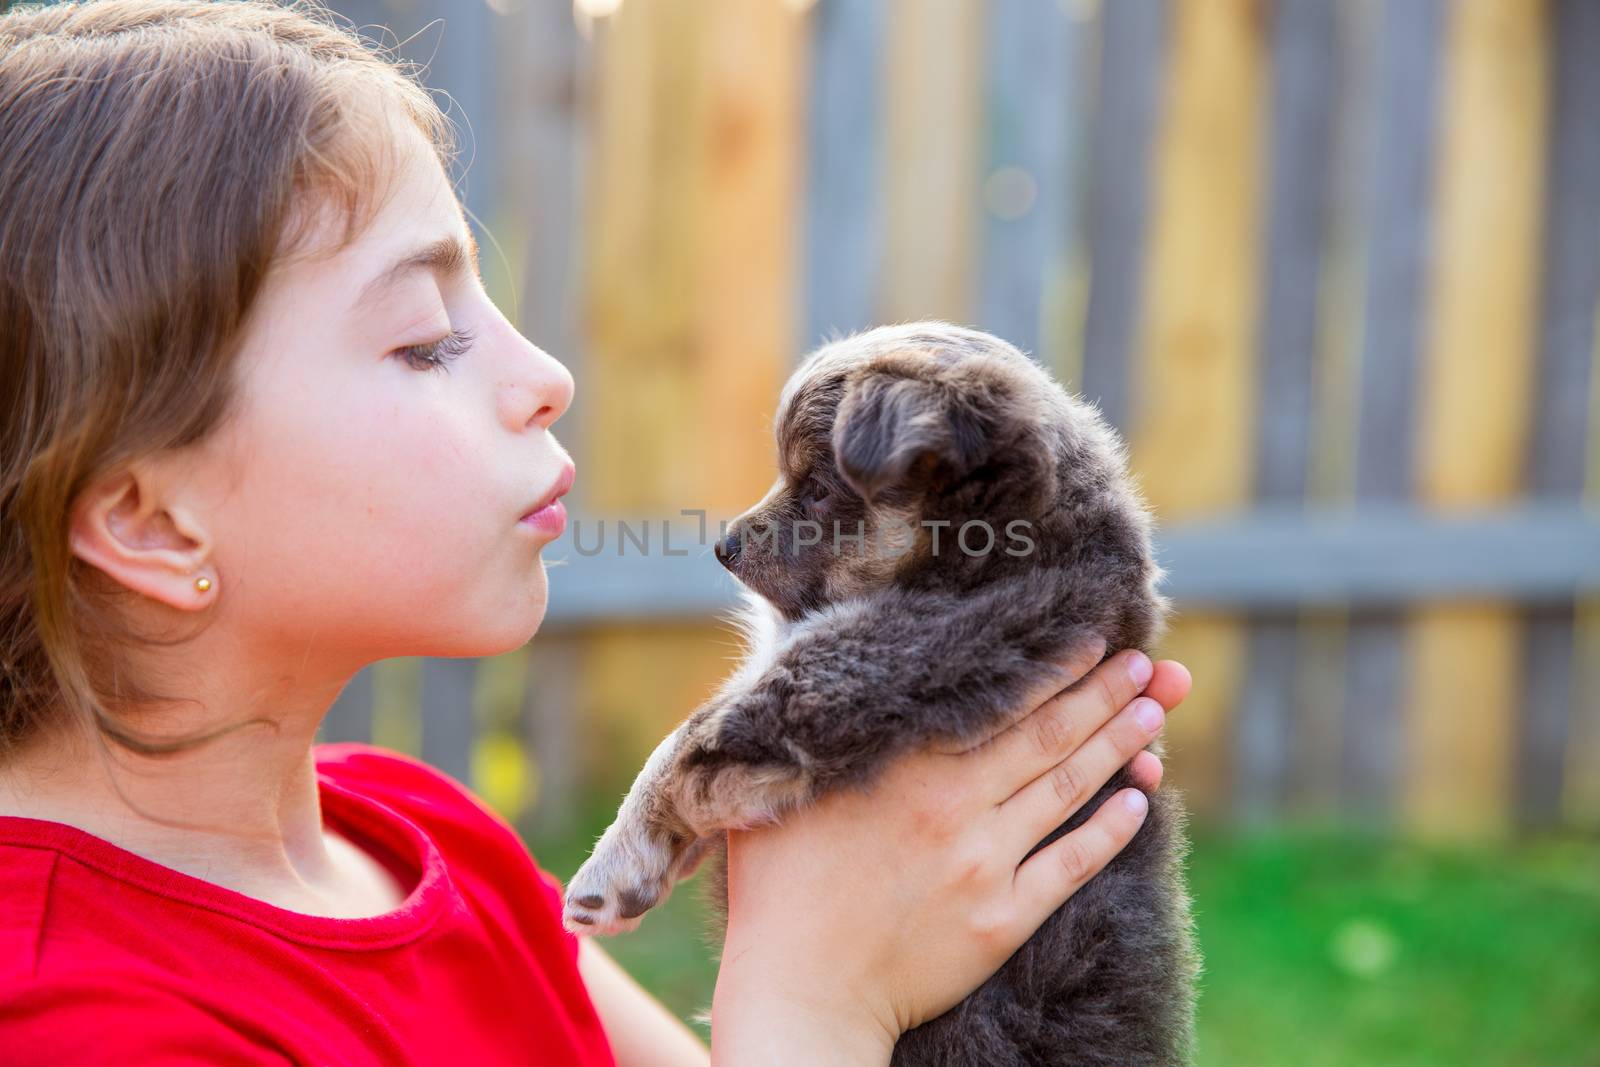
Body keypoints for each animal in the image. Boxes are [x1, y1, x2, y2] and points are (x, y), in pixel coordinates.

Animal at [556, 321, 1196, 1062]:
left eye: (818, 489)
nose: (724, 545)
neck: (994, 562)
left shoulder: (832, 681)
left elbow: (678, 750)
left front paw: (607, 874)